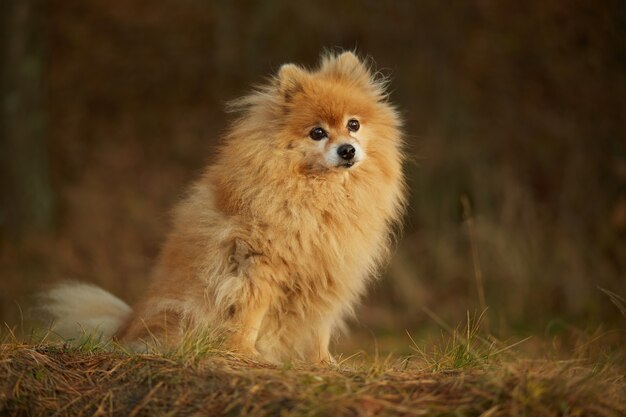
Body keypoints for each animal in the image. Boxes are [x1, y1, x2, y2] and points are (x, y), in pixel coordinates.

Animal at [41, 52, 408, 362]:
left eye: (353, 125)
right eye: (317, 133)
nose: (347, 150)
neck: (320, 194)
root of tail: (124, 328)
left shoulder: (327, 273)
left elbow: (318, 326)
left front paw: (323, 364)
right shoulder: (258, 264)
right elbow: (250, 313)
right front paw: (243, 353)